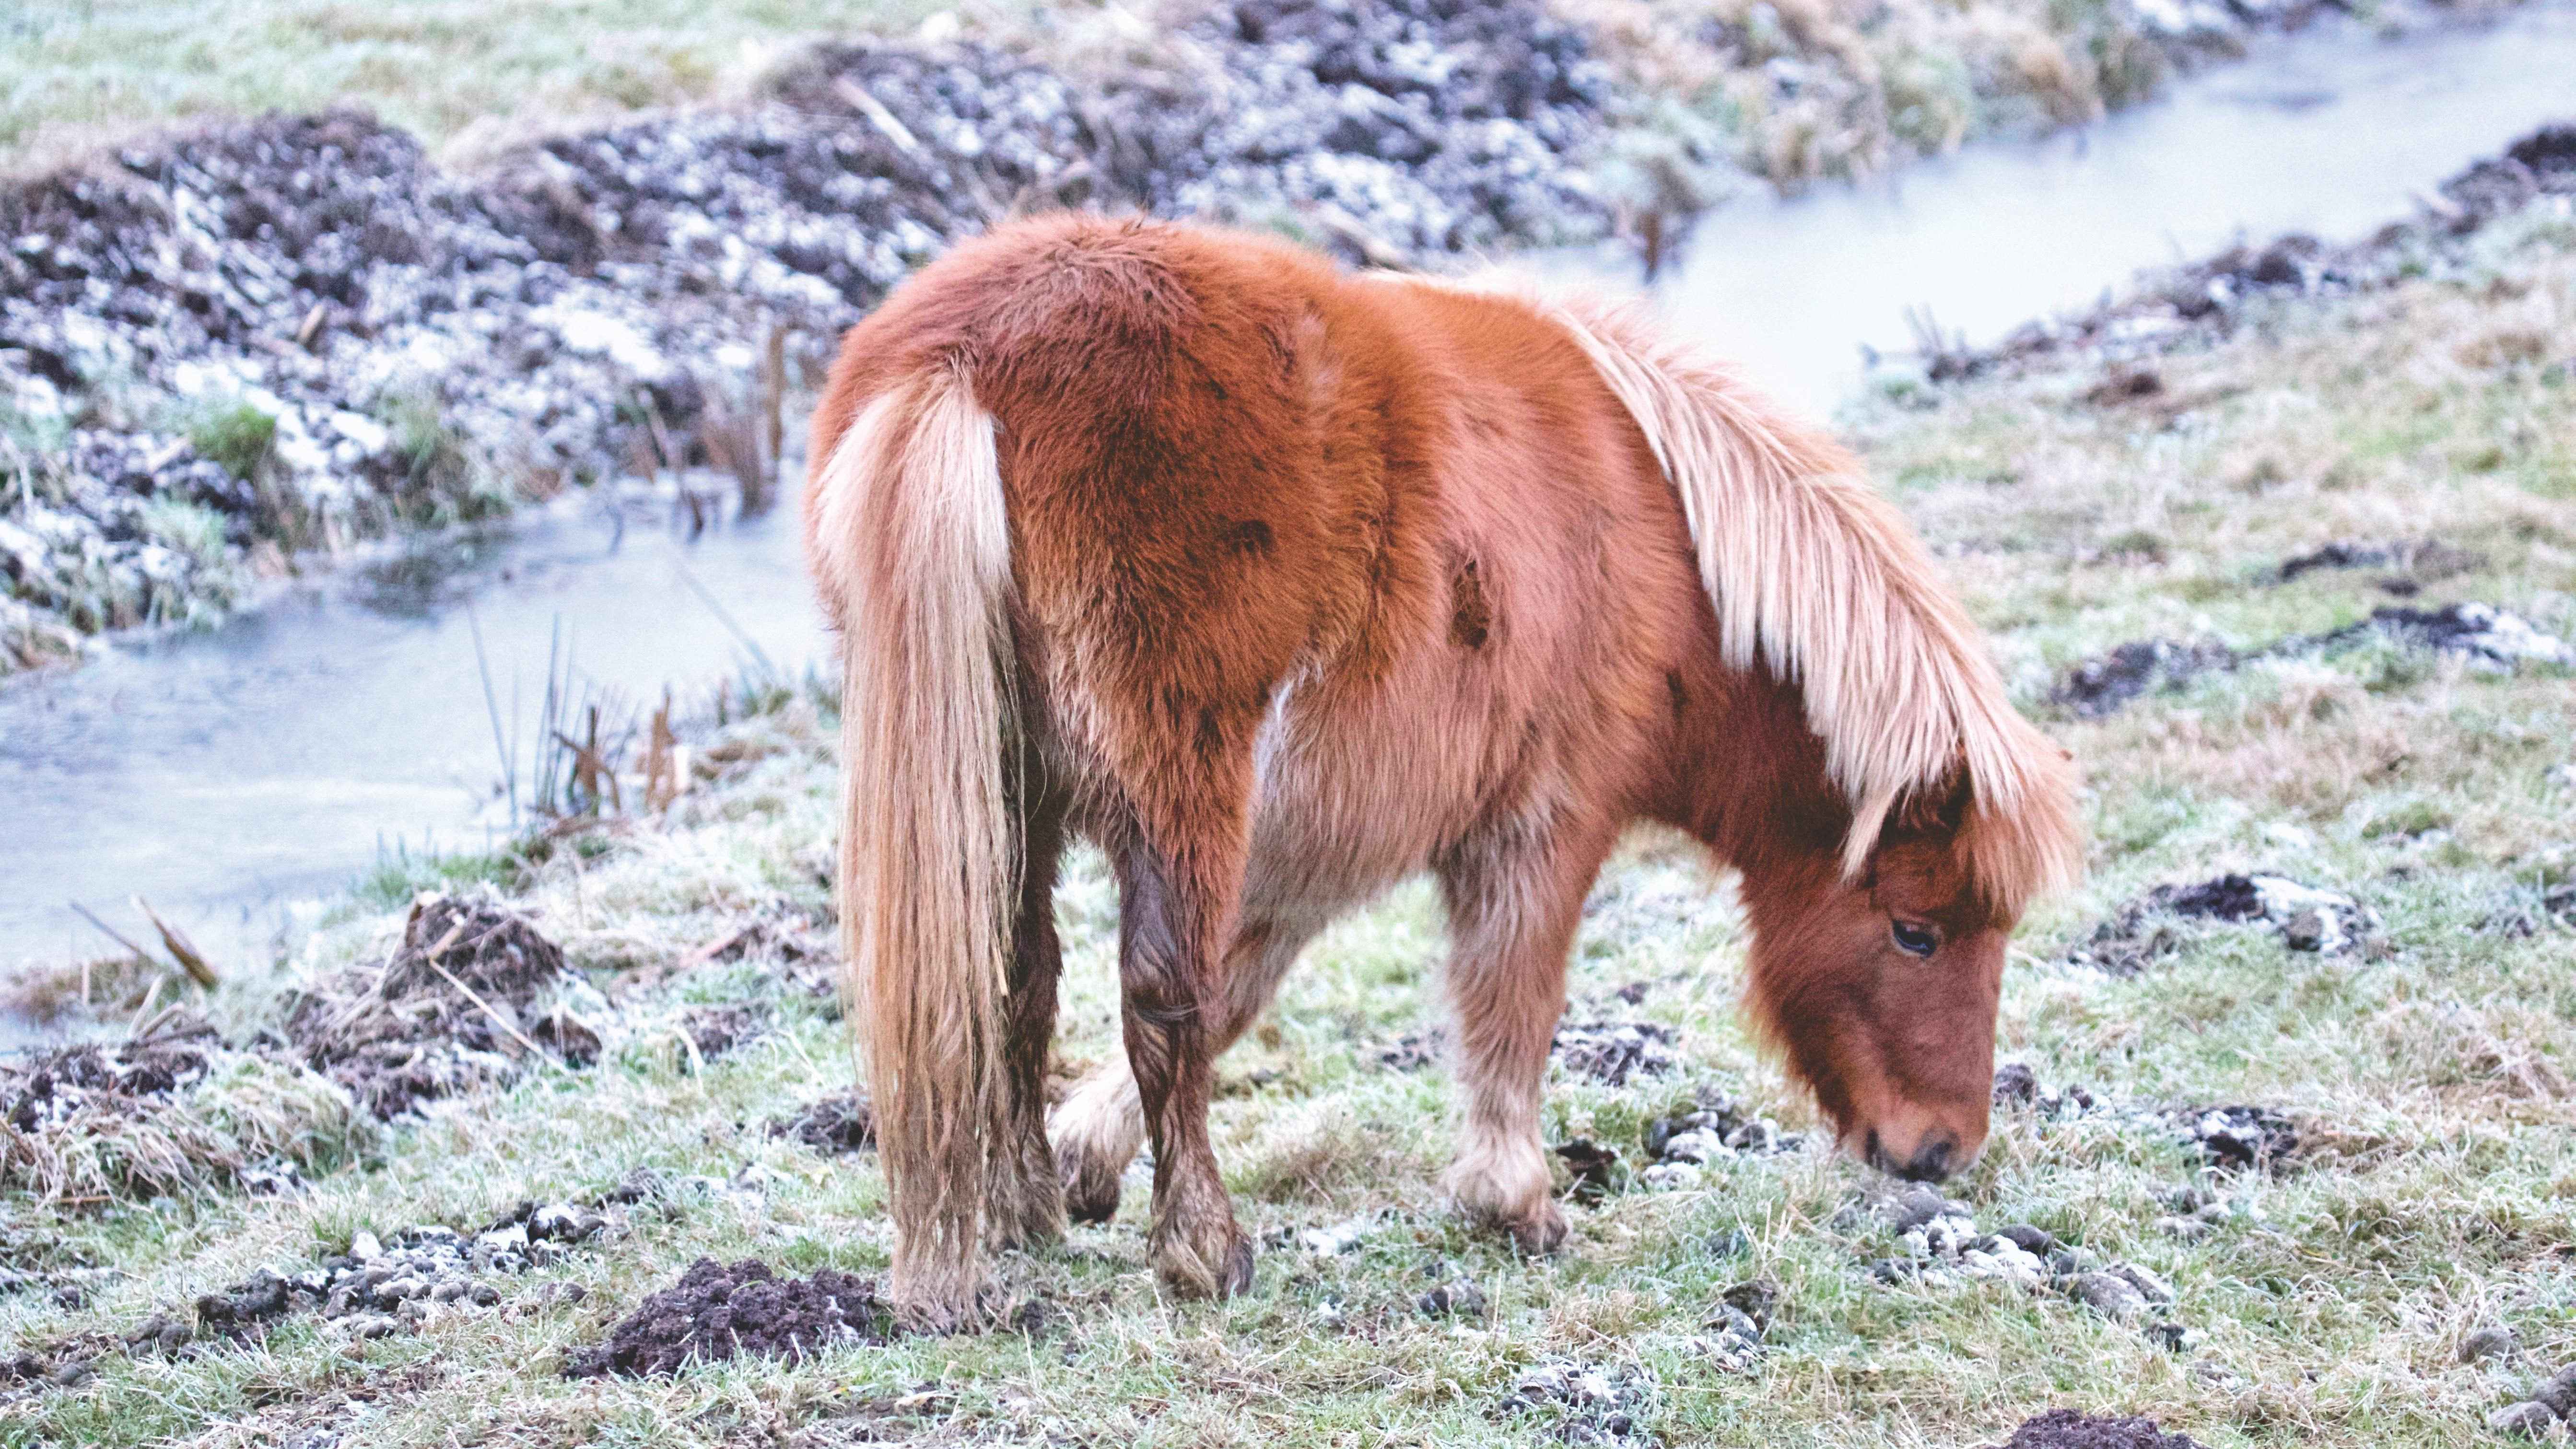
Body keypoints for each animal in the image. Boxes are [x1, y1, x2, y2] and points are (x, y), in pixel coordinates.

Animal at [793, 210, 2081, 1328]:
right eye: (1917, 930)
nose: (1939, 1149)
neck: (1664, 544)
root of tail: (965, 361)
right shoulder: (1539, 824)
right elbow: (1506, 996)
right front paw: (1515, 1202)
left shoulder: (1308, 843)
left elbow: (1242, 984)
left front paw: (1081, 1158)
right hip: (1178, 786)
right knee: (1157, 997)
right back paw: (1204, 1250)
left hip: (1014, 793)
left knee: (1014, 983)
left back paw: (1020, 1215)